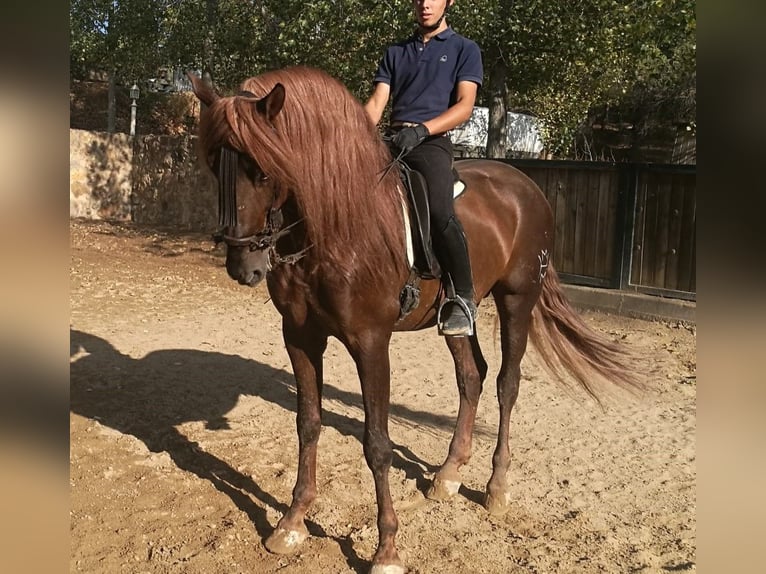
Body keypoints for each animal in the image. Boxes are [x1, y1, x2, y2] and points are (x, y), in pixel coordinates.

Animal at [189, 68, 644, 574]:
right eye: (215, 166)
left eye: (263, 170)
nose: (242, 266)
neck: (334, 226)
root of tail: (524, 185)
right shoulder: (300, 337)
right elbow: (308, 424)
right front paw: (291, 523)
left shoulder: (370, 342)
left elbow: (377, 444)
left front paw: (386, 549)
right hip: (459, 314)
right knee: (472, 376)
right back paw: (447, 474)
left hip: (517, 300)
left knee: (507, 384)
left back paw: (496, 488)